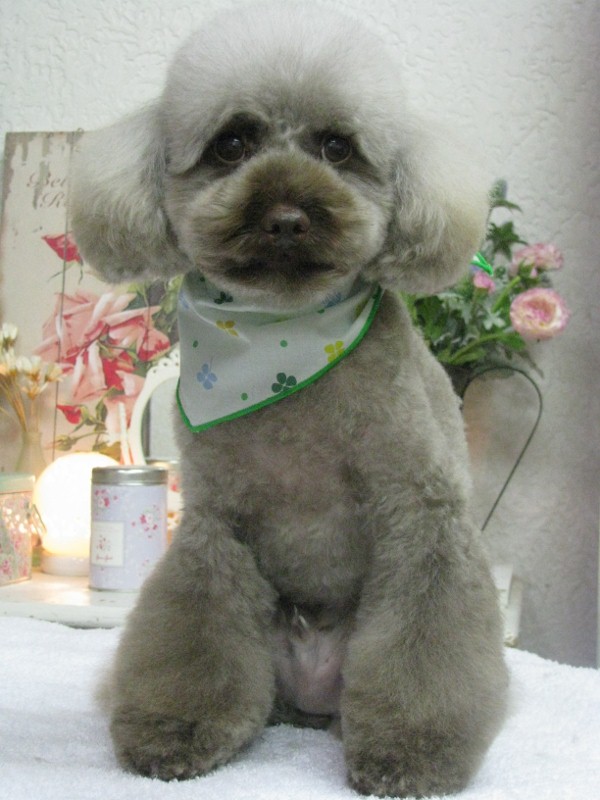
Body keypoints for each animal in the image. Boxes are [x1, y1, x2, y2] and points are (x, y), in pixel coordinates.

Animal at [70, 4, 508, 796]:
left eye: (337, 146)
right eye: (232, 142)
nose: (285, 215)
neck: (283, 348)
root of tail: (308, 699)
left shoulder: (422, 512)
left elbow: (426, 646)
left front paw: (413, 751)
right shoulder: (215, 524)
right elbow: (193, 629)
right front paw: (174, 730)